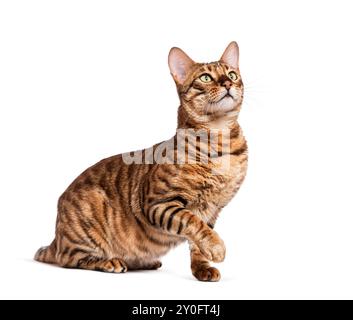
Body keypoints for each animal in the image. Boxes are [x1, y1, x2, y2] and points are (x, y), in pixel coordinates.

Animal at [34, 41, 246, 282]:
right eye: (206, 78)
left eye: (232, 74)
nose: (228, 82)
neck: (221, 143)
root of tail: (56, 236)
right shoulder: (160, 202)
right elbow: (193, 223)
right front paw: (217, 247)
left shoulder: (212, 210)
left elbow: (197, 243)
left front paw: (203, 267)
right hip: (88, 218)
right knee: (69, 258)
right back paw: (110, 261)